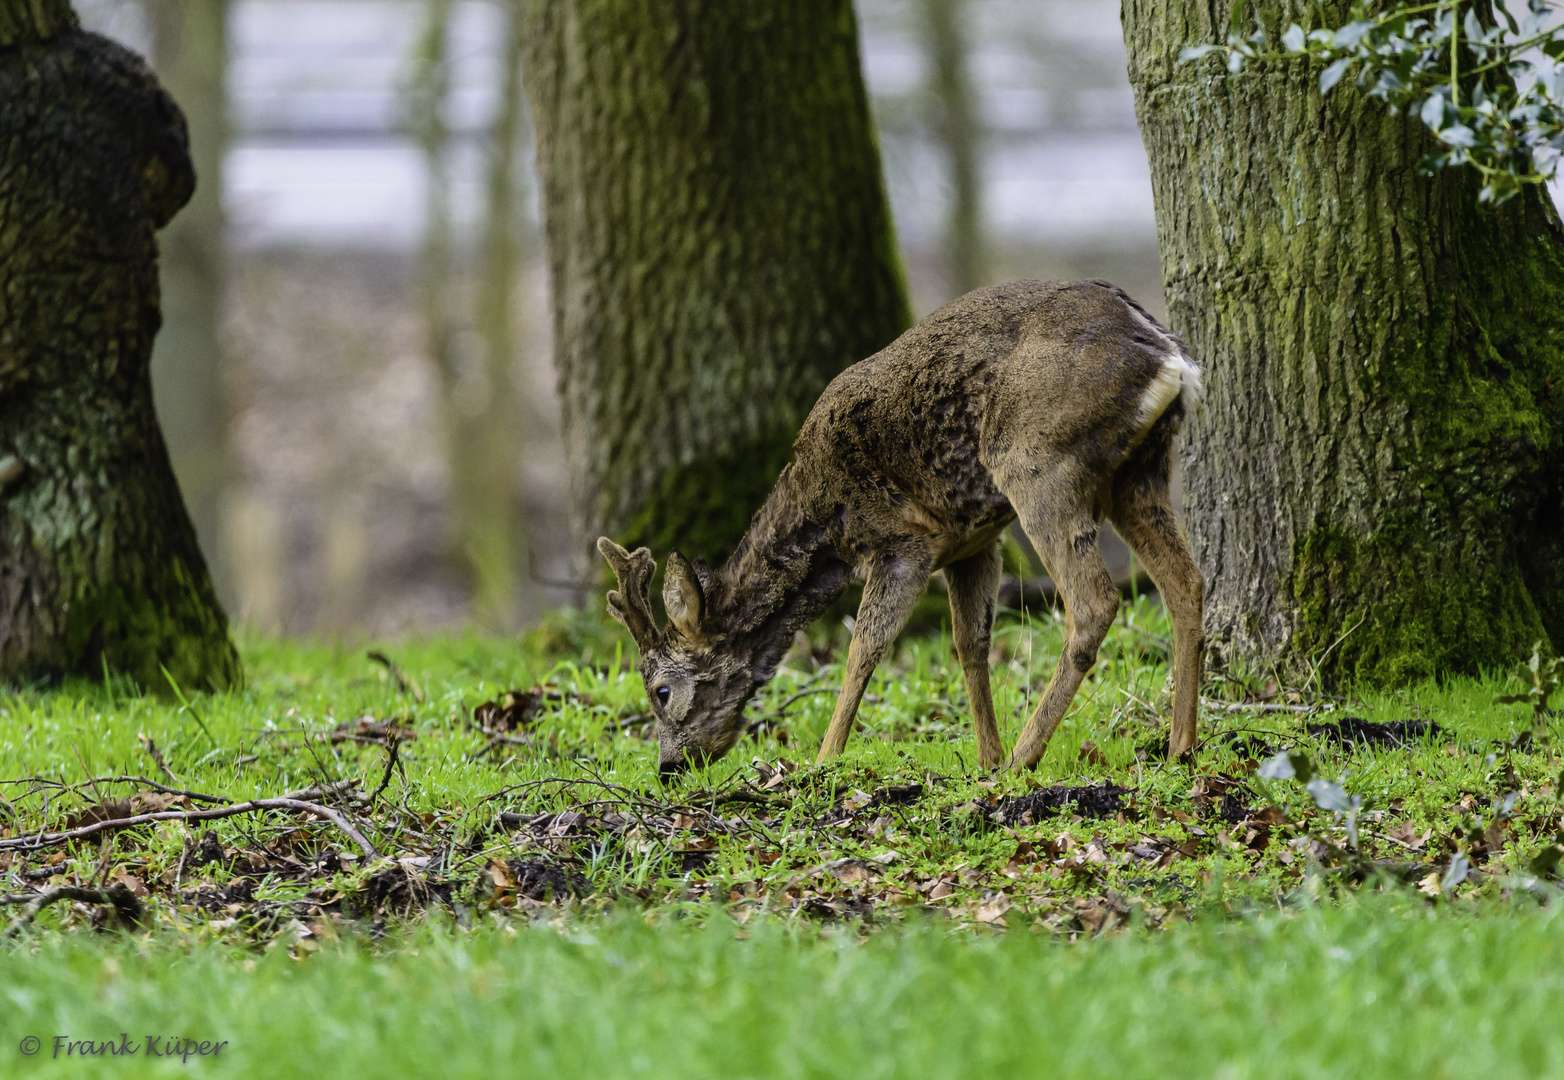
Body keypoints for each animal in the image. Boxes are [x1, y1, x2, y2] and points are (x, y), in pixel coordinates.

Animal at [597, 278, 1207, 778]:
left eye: (661, 690)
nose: (668, 767)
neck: (825, 522)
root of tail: (1170, 355)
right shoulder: (973, 542)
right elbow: (970, 644)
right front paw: (983, 759)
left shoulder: (904, 545)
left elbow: (864, 649)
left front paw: (823, 760)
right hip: (1139, 472)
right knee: (1186, 582)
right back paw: (1179, 745)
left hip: (1038, 461)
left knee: (1095, 602)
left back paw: (1026, 755)